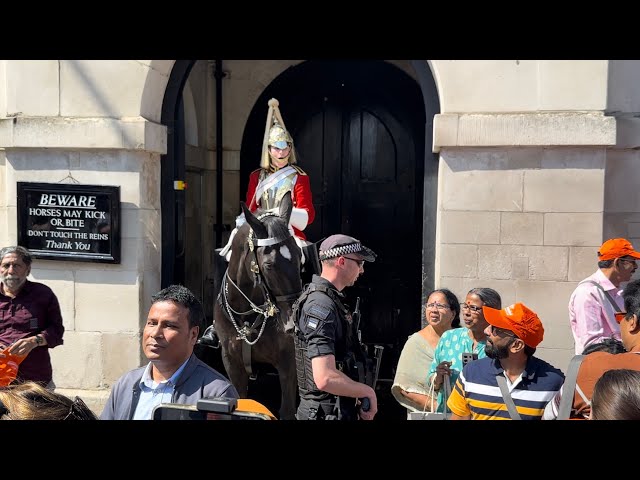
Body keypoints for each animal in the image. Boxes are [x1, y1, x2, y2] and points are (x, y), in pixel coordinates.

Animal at [214, 192, 302, 420]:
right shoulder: (232, 363)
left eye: (300, 256)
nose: (293, 324)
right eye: (269, 265)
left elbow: (287, 410)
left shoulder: (288, 362)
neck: (248, 313)